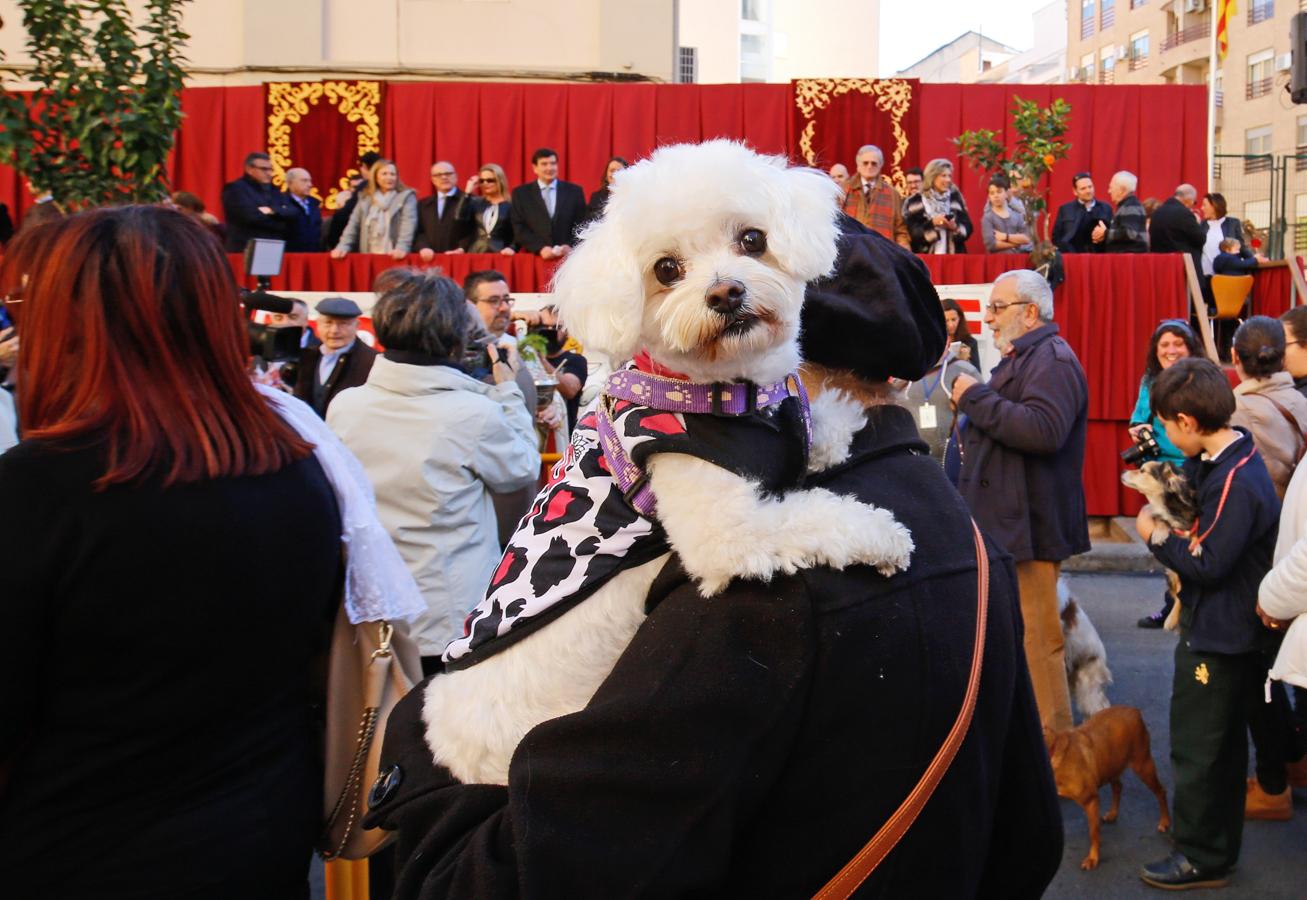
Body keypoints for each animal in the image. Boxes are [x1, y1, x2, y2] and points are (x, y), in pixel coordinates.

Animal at [423, 138, 914, 778]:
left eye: (752, 238)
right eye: (666, 270)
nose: (726, 293)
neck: (725, 394)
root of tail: (446, 737)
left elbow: (810, 427)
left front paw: (836, 419)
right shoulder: (725, 530)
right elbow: (814, 516)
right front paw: (884, 536)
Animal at [1045, 705, 1171, 867]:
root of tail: (1134, 710)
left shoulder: (1091, 800)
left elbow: (1093, 832)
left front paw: (1093, 858)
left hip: (1143, 766)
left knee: (1161, 792)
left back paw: (1165, 822)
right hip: (1112, 765)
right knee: (1118, 787)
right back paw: (1113, 814)